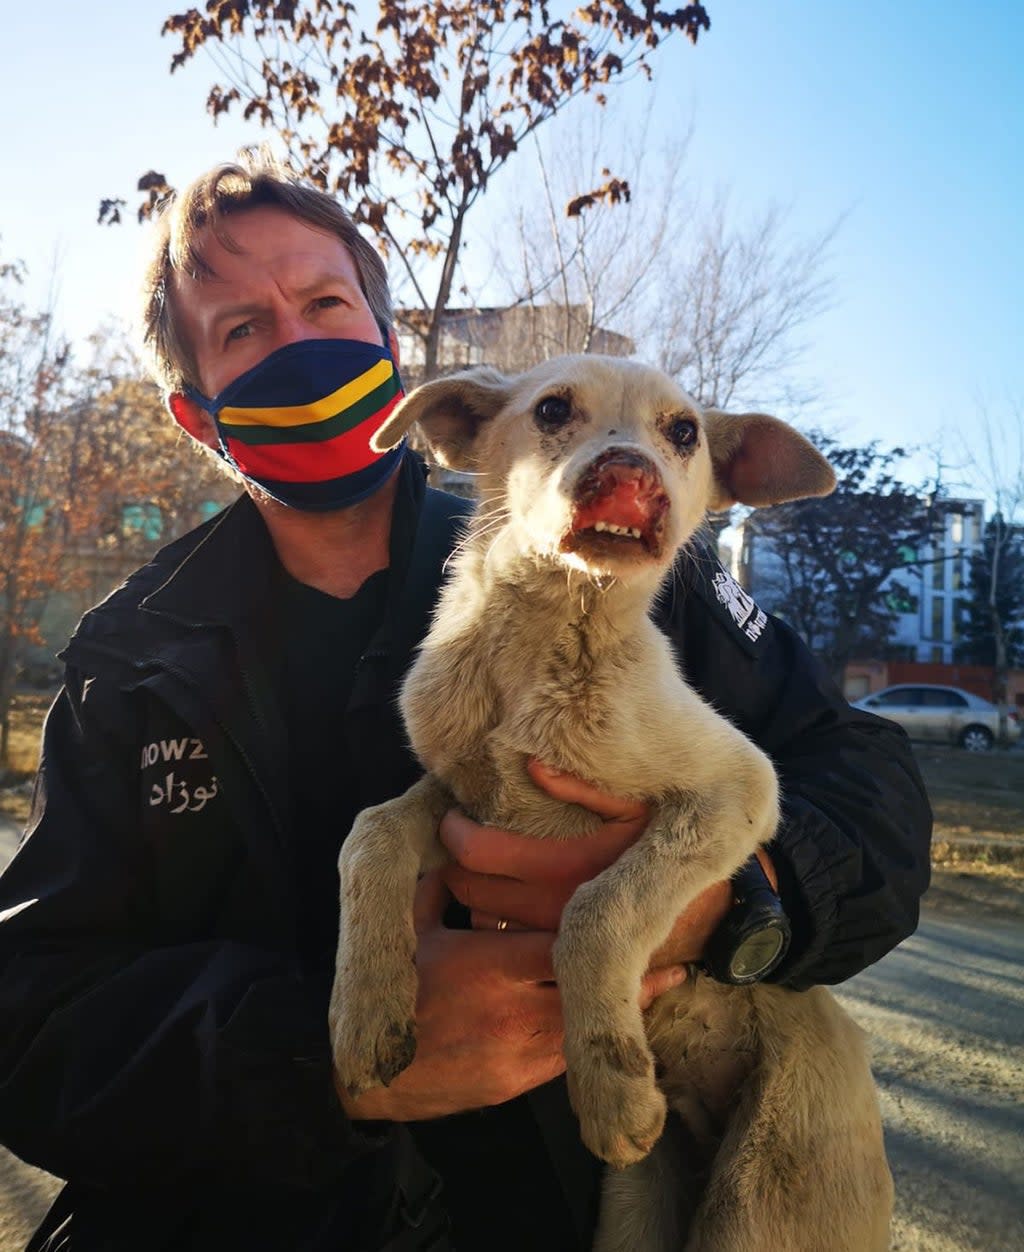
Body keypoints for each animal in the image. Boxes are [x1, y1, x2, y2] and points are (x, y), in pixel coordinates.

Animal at [327, 358, 891, 1246]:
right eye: (552, 410)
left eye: (684, 431)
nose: (628, 475)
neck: (545, 637)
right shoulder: (463, 795)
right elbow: (370, 831)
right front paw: (364, 1018)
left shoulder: (739, 788)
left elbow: (597, 908)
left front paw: (613, 1089)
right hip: (634, 1207)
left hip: (760, 1200)